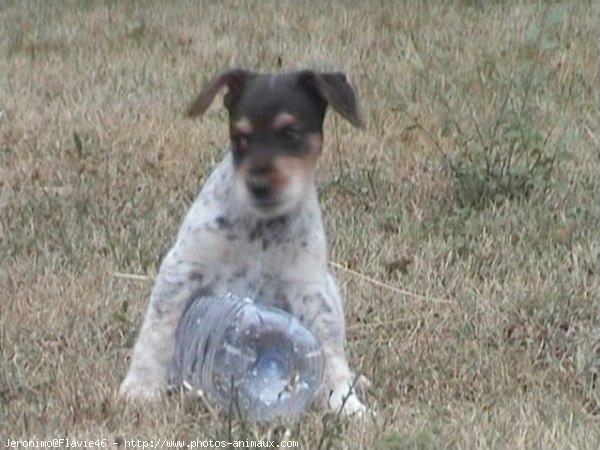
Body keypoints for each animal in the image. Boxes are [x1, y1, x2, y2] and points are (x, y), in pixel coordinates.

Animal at [119, 68, 366, 416]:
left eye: (290, 132)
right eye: (240, 137)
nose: (259, 185)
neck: (260, 228)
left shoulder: (309, 289)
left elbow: (329, 353)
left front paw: (345, 402)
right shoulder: (182, 269)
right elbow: (156, 333)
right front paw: (140, 387)